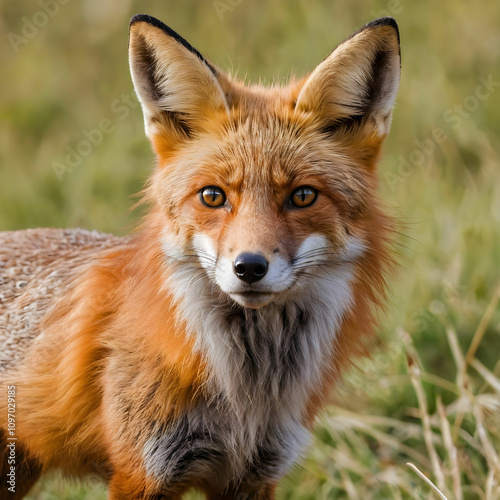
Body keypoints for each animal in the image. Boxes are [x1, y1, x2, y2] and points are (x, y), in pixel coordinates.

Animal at [0, 14, 398, 500]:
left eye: (303, 196)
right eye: (213, 196)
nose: (249, 267)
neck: (244, 398)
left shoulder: (253, 476)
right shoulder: (143, 471)